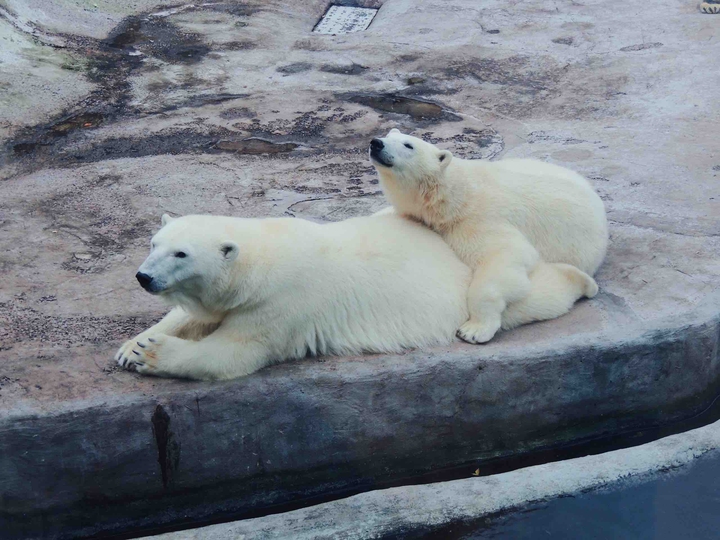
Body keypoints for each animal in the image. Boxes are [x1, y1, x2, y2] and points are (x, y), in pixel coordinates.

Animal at [116, 212, 471, 380]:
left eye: (181, 254)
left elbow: (232, 351)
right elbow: (192, 315)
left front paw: (150, 353)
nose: (144, 276)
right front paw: (130, 347)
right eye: (154, 243)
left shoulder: (281, 303)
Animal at [369, 128, 608, 344]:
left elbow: (506, 255)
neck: (452, 197)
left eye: (408, 145)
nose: (376, 143)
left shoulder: (477, 219)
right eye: (389, 135)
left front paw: (473, 330)